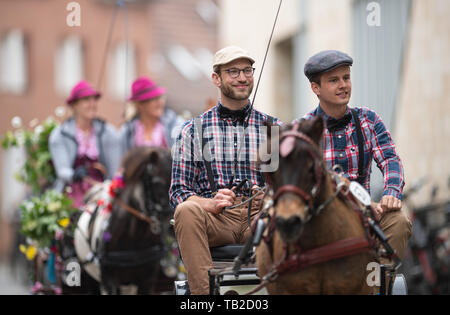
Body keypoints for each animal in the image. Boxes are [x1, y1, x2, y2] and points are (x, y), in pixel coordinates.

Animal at [72, 147, 176, 296]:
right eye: (157, 183)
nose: (172, 226)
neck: (134, 238)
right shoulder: (109, 281)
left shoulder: (147, 280)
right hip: (90, 277)